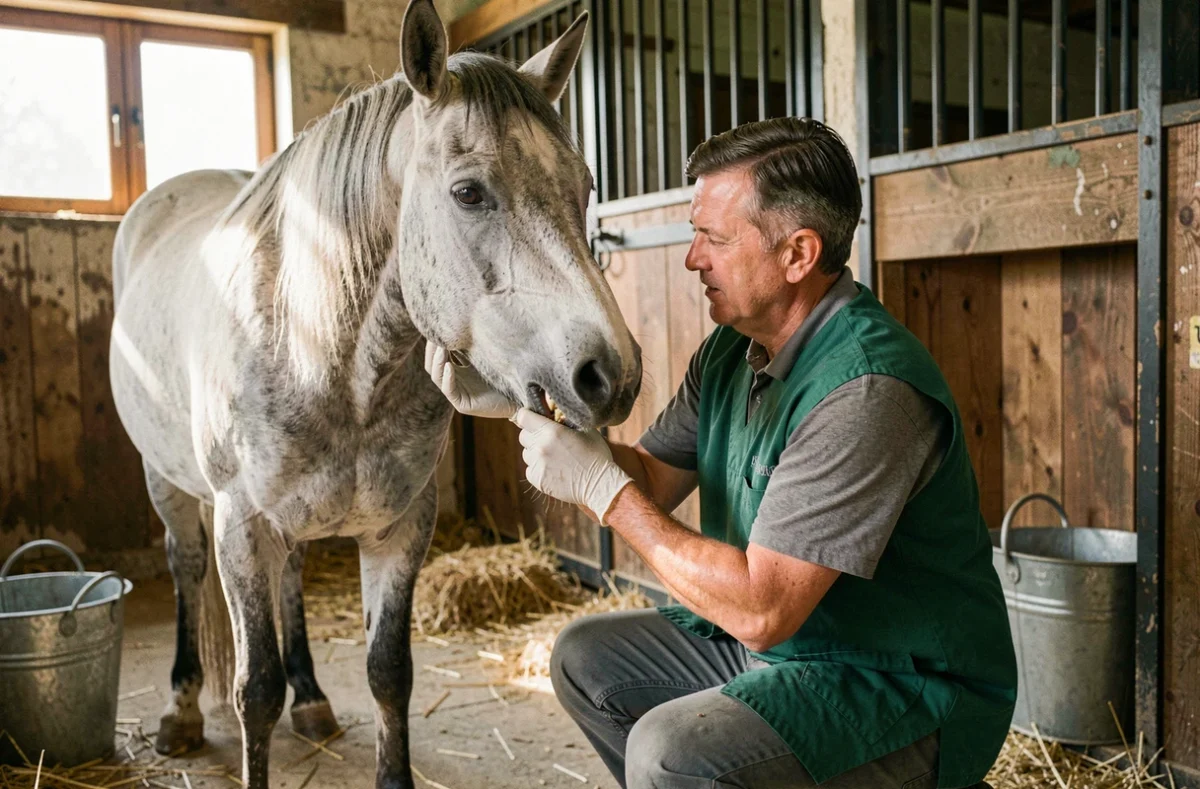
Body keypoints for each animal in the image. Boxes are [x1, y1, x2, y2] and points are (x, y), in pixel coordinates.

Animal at [108, 2, 642, 786]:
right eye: (468, 192)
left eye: (585, 186)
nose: (611, 375)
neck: (321, 351)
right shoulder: (243, 527)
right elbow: (254, 691)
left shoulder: (401, 526)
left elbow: (389, 673)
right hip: (167, 482)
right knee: (184, 566)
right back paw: (180, 709)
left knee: (294, 580)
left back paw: (312, 698)